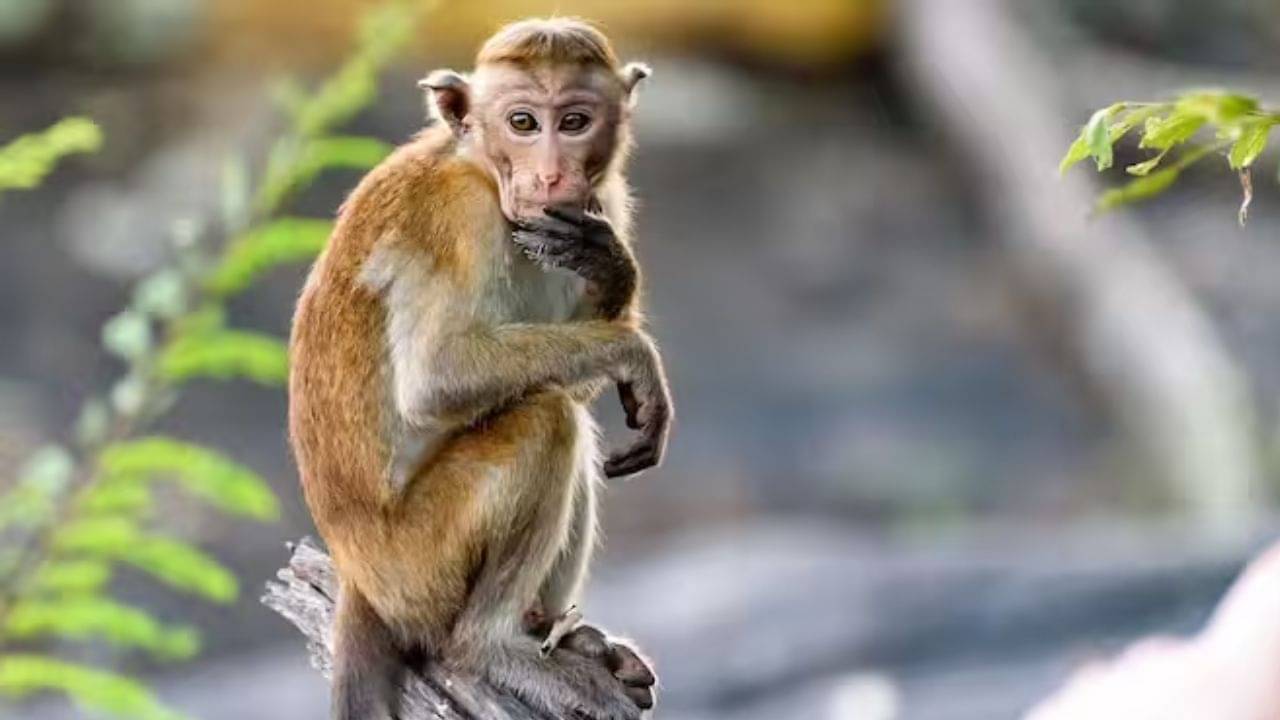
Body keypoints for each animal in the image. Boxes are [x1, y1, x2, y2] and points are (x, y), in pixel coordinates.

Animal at [287, 17, 671, 720]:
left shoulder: (600, 203)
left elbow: (581, 373)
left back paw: (560, 634)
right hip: (420, 567)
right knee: (547, 421)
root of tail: (357, 577)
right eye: (522, 122)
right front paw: (638, 356)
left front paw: (612, 269)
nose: (550, 176)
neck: (484, 172)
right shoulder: (457, 218)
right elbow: (437, 378)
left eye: (574, 121)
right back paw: (491, 648)